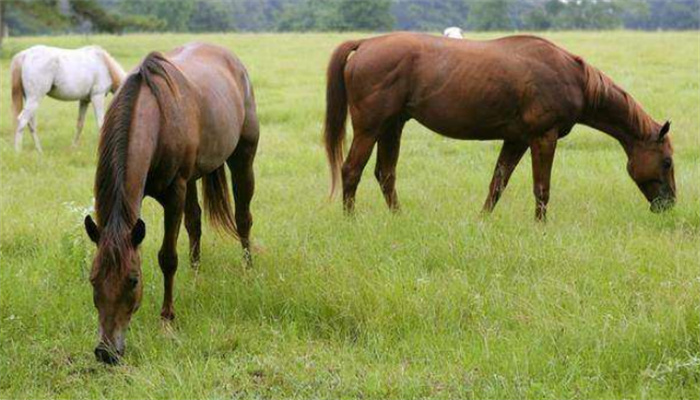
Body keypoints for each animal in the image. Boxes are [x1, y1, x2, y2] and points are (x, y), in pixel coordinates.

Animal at [82, 42, 258, 364]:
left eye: (133, 280)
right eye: (93, 279)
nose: (106, 352)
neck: (155, 119)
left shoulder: (174, 193)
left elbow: (167, 257)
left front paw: (166, 318)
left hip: (243, 156)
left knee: (243, 218)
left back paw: (248, 270)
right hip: (193, 179)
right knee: (195, 222)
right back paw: (195, 275)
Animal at [326, 32, 676, 220]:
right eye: (667, 161)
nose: (669, 205)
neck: (573, 78)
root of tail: (366, 43)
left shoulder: (517, 140)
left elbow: (497, 183)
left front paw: (482, 221)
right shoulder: (543, 137)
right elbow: (541, 187)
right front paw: (540, 228)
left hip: (392, 126)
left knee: (385, 174)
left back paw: (399, 219)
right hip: (370, 128)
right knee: (352, 171)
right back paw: (351, 221)